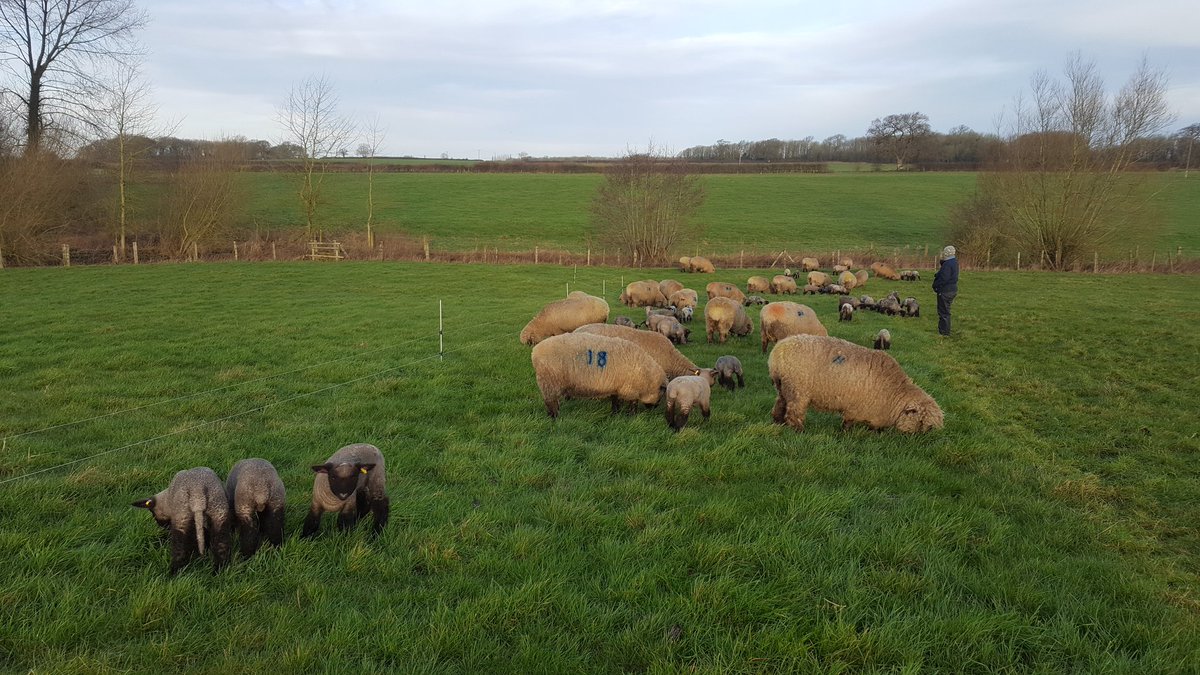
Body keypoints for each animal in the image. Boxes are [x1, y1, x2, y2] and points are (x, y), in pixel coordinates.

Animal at [532, 332, 668, 417]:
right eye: (661, 394)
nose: (654, 408)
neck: (648, 378)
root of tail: (535, 351)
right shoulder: (631, 388)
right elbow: (633, 403)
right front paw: (631, 416)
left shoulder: (617, 386)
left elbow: (615, 400)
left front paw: (615, 414)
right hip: (549, 382)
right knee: (551, 402)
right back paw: (554, 418)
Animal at [768, 334, 943, 433]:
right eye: (922, 423)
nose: (918, 441)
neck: (895, 394)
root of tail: (777, 352)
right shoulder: (856, 408)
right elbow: (848, 423)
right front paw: (847, 434)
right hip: (798, 389)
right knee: (793, 412)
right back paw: (798, 430)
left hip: (783, 386)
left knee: (780, 404)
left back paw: (778, 422)